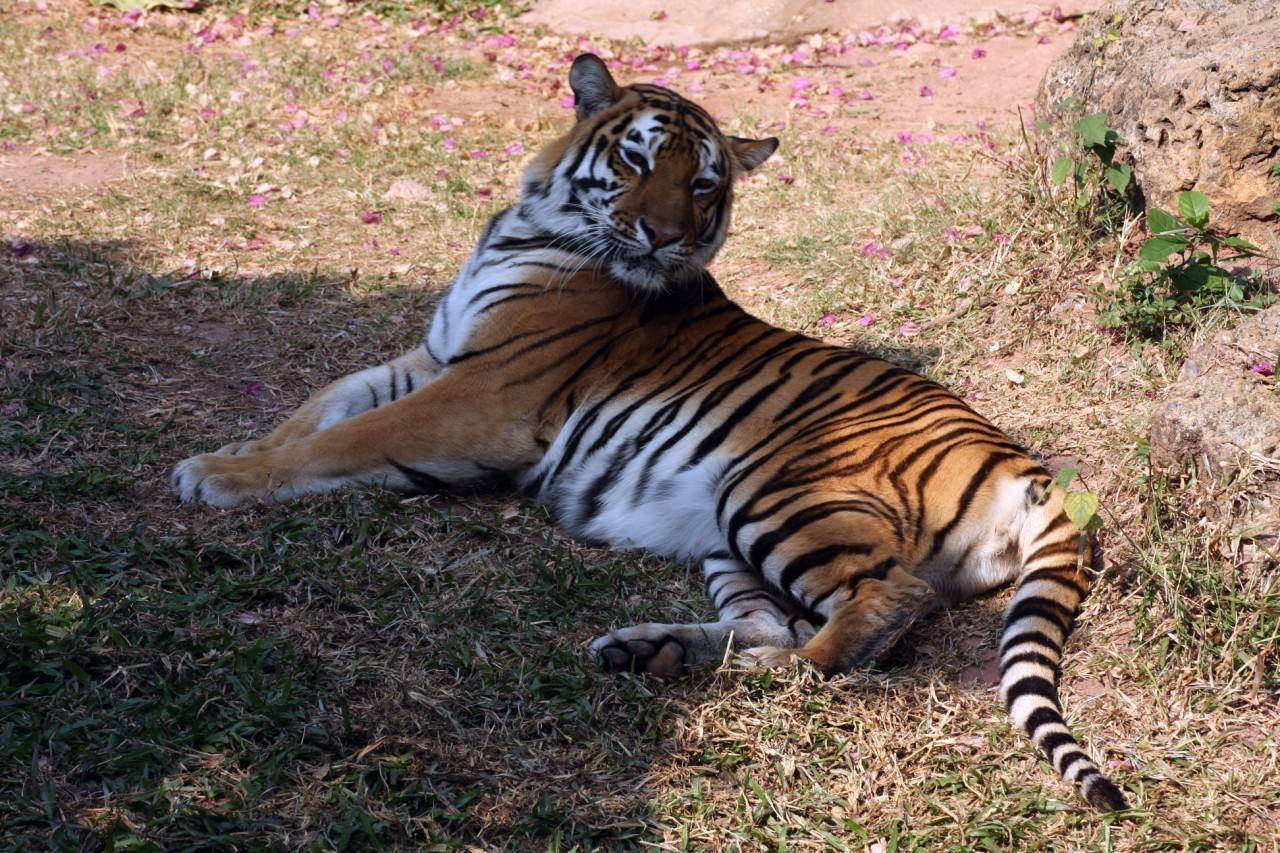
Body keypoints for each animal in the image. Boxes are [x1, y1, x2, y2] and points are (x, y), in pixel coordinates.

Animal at [172, 53, 1131, 809]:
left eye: (704, 184)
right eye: (636, 159)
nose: (664, 235)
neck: (525, 228)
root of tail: (1026, 463)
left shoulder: (482, 394)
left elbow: (352, 436)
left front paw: (221, 479)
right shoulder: (435, 354)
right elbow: (320, 404)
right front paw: (229, 454)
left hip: (775, 489)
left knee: (879, 609)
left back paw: (747, 678)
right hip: (723, 532)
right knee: (779, 620)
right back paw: (652, 652)